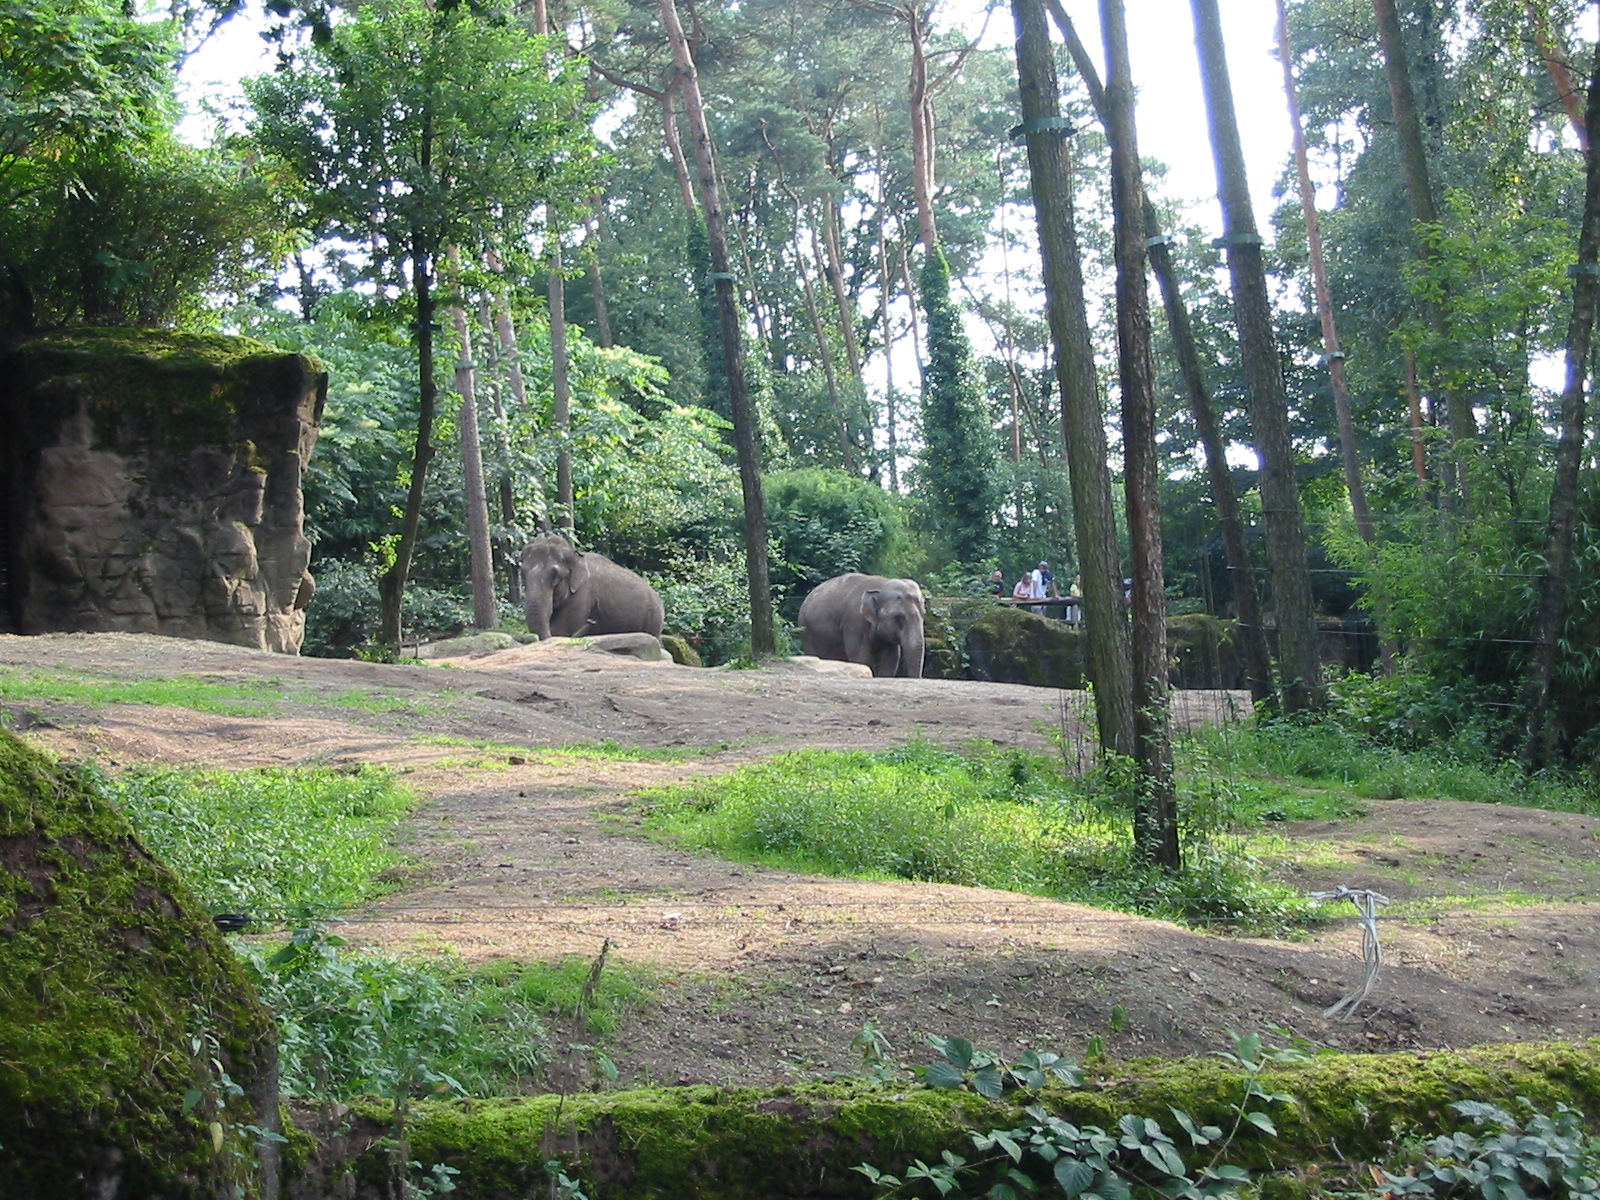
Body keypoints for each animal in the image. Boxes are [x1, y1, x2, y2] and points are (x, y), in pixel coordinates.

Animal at [520, 535, 665, 641]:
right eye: (522, 575)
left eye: (556, 578)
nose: (592, 620)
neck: (576, 554)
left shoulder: (583, 592)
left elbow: (562, 630)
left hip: (654, 618)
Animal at [797, 573, 926, 678]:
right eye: (898, 617)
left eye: (923, 614)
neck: (882, 585)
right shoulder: (854, 622)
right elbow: (861, 657)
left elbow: (891, 657)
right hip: (806, 630)